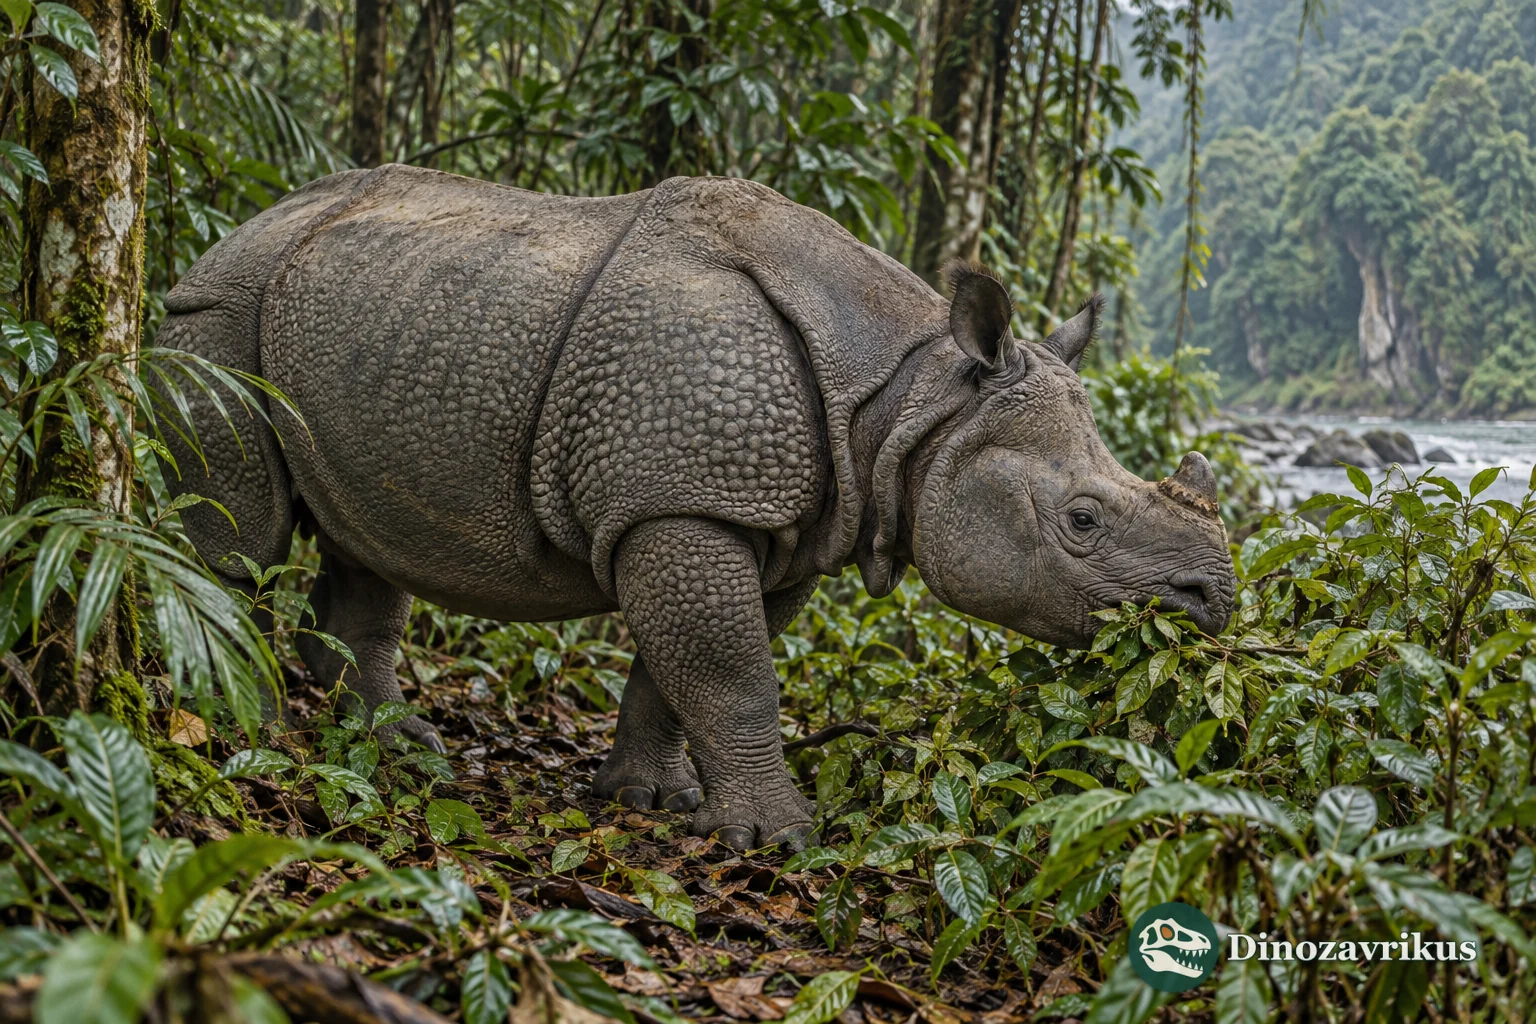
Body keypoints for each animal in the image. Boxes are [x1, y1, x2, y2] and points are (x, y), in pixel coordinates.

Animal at [160, 165, 1235, 849]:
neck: (914, 394)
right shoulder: (686, 499)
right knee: (240, 538)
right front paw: (778, 838)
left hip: (371, 314)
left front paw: (650, 799)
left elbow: (683, 667)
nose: (1214, 601)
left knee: (366, 543)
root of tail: (233, 230)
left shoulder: (771, 519)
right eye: (1084, 521)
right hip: (219, 311)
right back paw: (243, 726)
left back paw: (400, 749)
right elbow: (730, 668)